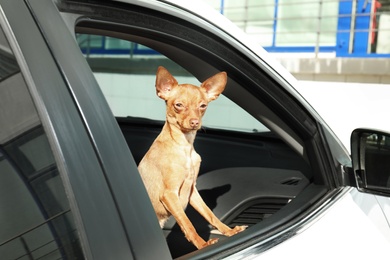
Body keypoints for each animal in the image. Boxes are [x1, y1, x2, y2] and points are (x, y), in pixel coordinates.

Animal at [138, 66, 247, 249]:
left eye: (203, 106)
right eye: (178, 105)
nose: (195, 122)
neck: (184, 146)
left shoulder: (192, 191)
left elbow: (209, 214)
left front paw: (229, 231)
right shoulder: (169, 195)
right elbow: (187, 223)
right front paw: (203, 245)